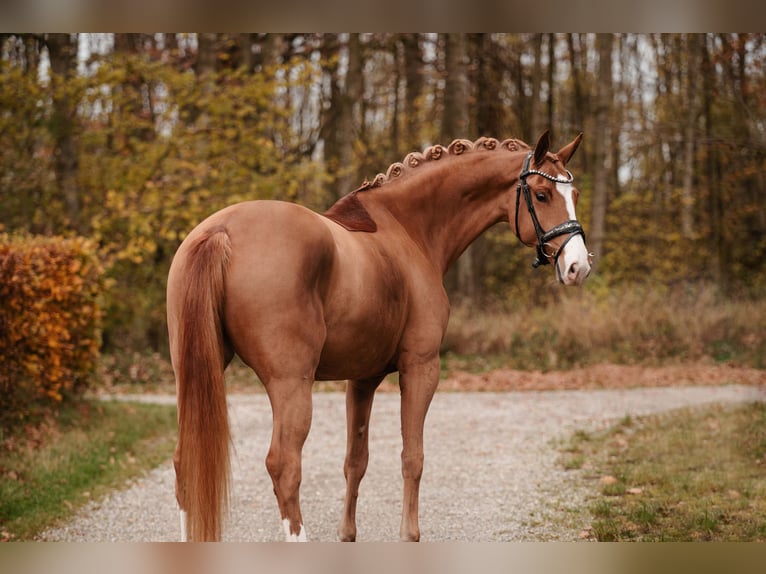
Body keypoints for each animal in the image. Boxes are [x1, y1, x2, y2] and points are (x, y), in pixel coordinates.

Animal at [168, 130, 592, 544]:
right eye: (542, 194)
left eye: (574, 195)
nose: (579, 267)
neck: (407, 229)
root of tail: (221, 232)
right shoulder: (421, 367)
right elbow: (412, 457)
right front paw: (409, 534)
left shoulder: (362, 379)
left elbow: (356, 461)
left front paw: (348, 534)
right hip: (290, 383)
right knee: (284, 465)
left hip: (192, 374)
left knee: (184, 461)